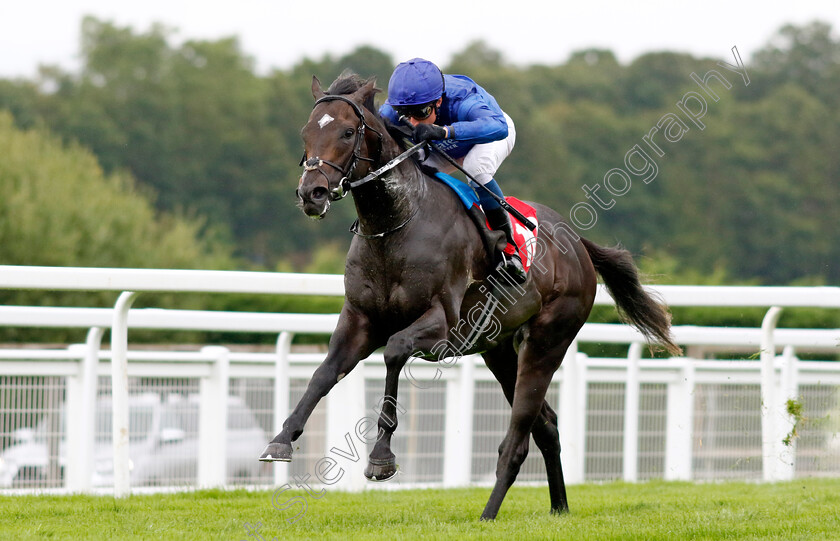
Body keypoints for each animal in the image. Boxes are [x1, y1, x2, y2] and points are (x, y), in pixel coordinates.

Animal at [260, 71, 680, 520]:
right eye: (306, 132)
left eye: (347, 131)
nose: (312, 193)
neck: (396, 224)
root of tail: (578, 244)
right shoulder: (360, 320)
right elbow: (324, 374)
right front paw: (281, 440)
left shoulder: (440, 325)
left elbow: (394, 352)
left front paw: (381, 458)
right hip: (498, 349)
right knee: (546, 426)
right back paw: (559, 508)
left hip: (548, 340)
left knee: (518, 439)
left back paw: (489, 514)